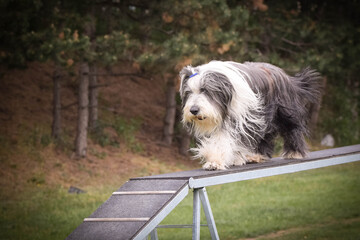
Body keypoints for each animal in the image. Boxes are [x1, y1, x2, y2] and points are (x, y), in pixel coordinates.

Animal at [179, 61, 322, 170]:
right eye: (188, 92)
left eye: (205, 90)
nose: (194, 110)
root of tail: (286, 76)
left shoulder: (245, 119)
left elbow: (223, 140)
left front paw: (215, 162)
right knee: (265, 137)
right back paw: (257, 155)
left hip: (284, 112)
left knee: (292, 129)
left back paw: (295, 152)